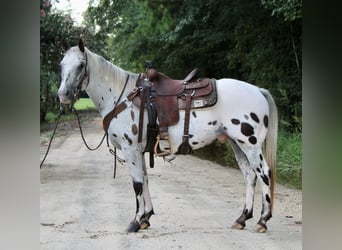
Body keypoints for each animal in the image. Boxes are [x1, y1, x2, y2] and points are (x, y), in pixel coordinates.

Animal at [58, 40, 278, 233]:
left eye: (81, 65)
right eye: (62, 64)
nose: (63, 95)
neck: (121, 97)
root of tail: (258, 90)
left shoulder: (130, 149)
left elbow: (137, 184)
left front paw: (135, 221)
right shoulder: (139, 151)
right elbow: (145, 180)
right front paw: (146, 217)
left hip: (250, 144)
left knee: (264, 174)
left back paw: (263, 220)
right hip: (236, 144)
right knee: (249, 175)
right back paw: (242, 218)